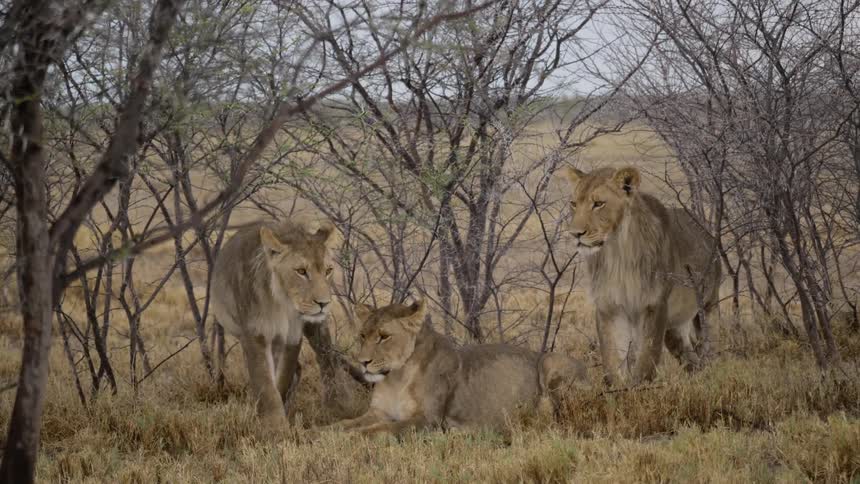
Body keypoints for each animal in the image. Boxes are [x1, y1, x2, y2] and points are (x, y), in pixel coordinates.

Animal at [210, 217, 338, 424]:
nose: (324, 303)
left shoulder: (291, 338)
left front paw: (279, 414)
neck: (282, 304)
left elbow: (282, 379)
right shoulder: (255, 336)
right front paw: (275, 426)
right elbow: (265, 384)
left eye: (328, 270)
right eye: (301, 271)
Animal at [326, 298, 587, 435]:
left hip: (550, 361)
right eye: (362, 335)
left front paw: (351, 438)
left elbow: (379, 430)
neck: (394, 378)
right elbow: (344, 423)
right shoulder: (378, 412)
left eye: (383, 337)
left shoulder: (428, 420)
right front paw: (320, 432)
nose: (363, 362)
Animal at [560, 166, 722, 386]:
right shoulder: (609, 306)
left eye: (598, 204)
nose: (574, 234)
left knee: (708, 347)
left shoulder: (654, 304)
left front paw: (641, 386)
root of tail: (707, 232)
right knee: (690, 358)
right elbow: (612, 355)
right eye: (574, 204)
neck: (616, 252)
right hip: (674, 327)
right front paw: (619, 388)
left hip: (707, 307)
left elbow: (647, 354)